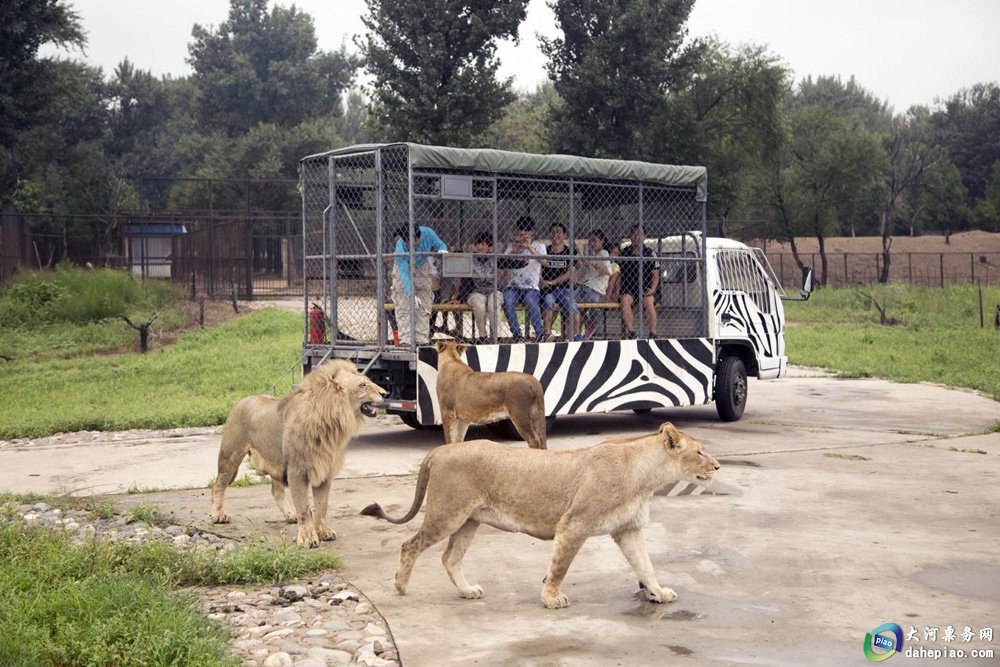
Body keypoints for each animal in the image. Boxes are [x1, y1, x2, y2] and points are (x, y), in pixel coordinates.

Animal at [213, 360, 384, 548]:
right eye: (363, 385)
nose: (385, 393)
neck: (331, 424)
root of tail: (241, 400)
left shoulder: (325, 472)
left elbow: (322, 507)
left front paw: (323, 532)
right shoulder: (297, 471)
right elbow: (304, 508)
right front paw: (308, 538)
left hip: (275, 461)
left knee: (276, 491)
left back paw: (290, 515)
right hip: (230, 456)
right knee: (218, 485)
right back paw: (218, 515)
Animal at [364, 426, 716, 608]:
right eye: (699, 451)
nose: (716, 466)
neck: (645, 478)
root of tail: (440, 450)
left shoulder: (628, 530)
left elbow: (646, 565)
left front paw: (658, 592)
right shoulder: (574, 524)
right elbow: (560, 566)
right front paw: (551, 597)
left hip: (468, 521)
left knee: (450, 558)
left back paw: (467, 591)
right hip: (447, 514)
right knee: (410, 545)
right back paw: (400, 586)